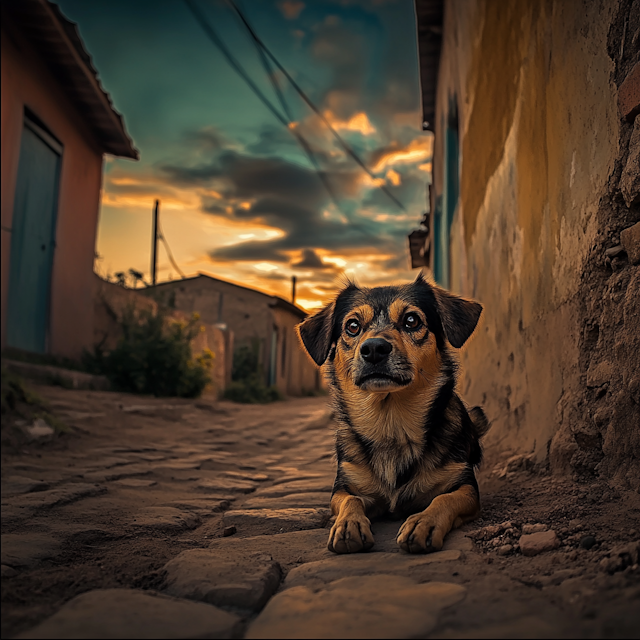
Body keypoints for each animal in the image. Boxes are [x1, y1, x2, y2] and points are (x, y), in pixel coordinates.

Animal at [298, 276, 488, 556]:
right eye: (352, 326)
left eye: (412, 320)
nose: (374, 348)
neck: (391, 426)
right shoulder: (344, 486)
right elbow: (350, 499)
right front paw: (348, 525)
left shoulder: (466, 487)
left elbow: (444, 497)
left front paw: (423, 522)